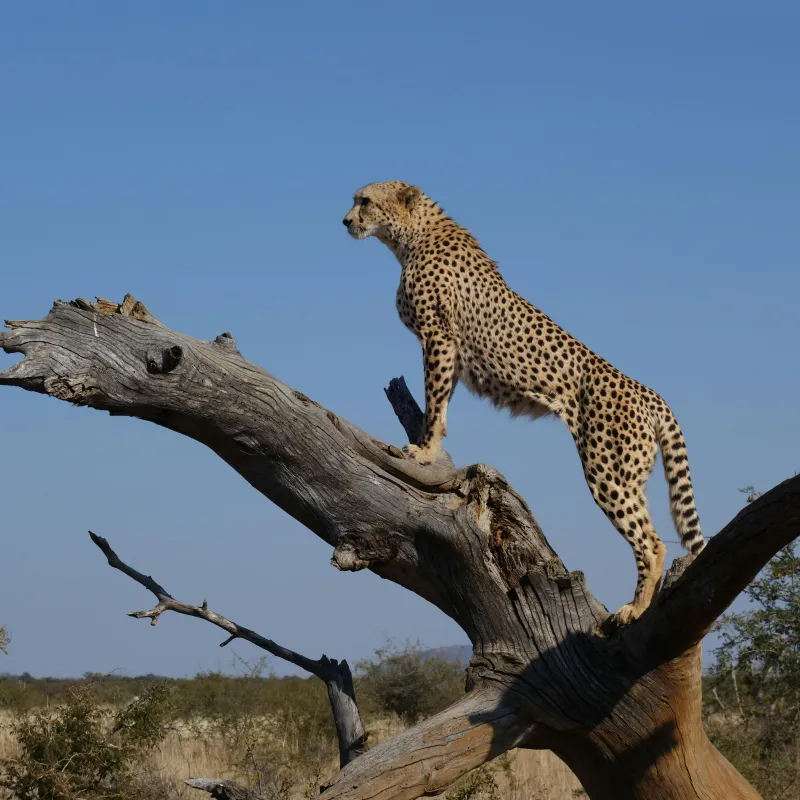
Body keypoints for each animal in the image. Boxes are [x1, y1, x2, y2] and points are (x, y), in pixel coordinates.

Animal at [342, 180, 705, 625]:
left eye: (365, 201)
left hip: (608, 471)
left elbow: (435, 400)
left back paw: (634, 608)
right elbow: (441, 405)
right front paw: (430, 444)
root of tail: (648, 392)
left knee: (653, 543)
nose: (345, 221)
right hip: (631, 475)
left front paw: (424, 452)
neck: (411, 237)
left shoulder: (438, 338)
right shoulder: (451, 351)